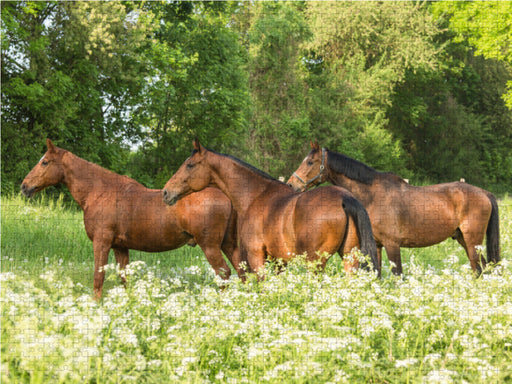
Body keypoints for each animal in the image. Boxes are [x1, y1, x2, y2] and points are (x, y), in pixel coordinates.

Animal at [21, 140, 243, 298]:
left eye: (45, 162)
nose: (24, 186)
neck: (99, 192)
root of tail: (226, 196)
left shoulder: (101, 243)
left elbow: (98, 278)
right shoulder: (120, 247)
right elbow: (124, 278)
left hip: (210, 246)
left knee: (224, 273)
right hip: (228, 244)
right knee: (242, 272)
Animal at [161, 140, 380, 278]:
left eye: (190, 165)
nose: (165, 192)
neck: (255, 195)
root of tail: (344, 198)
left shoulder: (257, 257)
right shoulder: (279, 262)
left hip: (315, 263)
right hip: (350, 258)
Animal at [288, 141, 500, 276]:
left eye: (310, 162)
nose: (292, 184)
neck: (373, 196)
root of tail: (485, 193)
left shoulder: (392, 245)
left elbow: (397, 275)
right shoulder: (378, 246)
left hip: (472, 241)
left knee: (479, 269)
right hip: (463, 239)